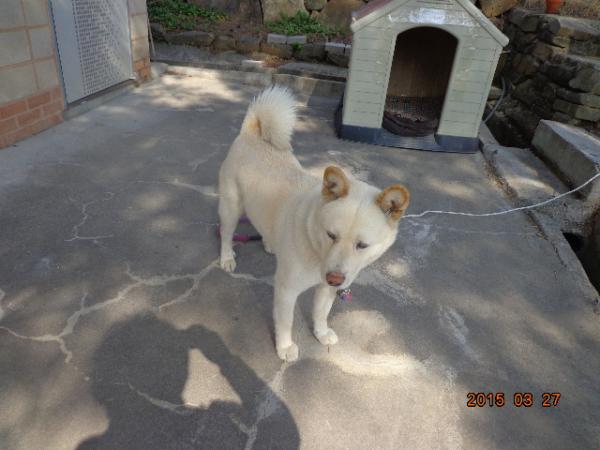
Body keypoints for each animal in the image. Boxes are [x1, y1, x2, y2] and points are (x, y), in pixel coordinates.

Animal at [218, 87, 410, 361]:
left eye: (362, 245)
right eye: (331, 235)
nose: (335, 278)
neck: (315, 246)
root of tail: (251, 132)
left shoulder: (325, 288)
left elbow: (321, 313)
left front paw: (321, 333)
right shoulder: (286, 290)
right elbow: (285, 322)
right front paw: (284, 347)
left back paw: (270, 243)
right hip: (231, 208)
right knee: (226, 233)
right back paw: (226, 257)